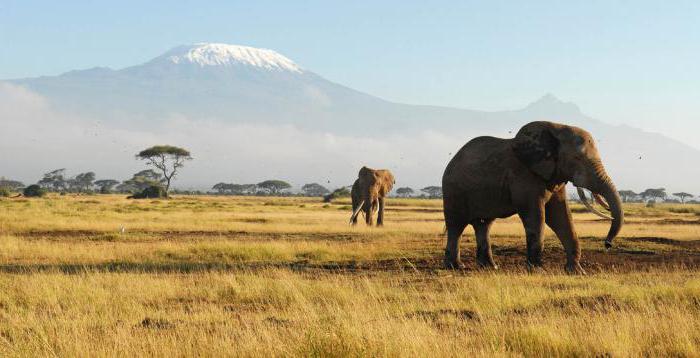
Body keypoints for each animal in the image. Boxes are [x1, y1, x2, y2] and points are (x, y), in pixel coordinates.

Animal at [442, 121, 624, 272]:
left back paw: (490, 267)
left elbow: (560, 216)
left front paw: (576, 271)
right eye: (577, 158)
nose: (607, 244)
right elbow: (536, 215)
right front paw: (537, 270)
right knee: (456, 226)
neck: (556, 128)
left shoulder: (554, 175)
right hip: (453, 190)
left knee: (483, 225)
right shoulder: (524, 176)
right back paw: (455, 267)